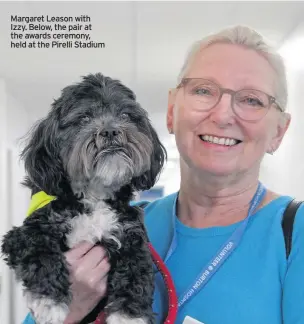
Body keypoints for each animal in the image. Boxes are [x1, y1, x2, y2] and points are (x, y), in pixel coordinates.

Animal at [0, 73, 166, 324]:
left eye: (125, 115)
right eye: (84, 118)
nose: (110, 131)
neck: (95, 194)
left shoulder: (132, 238)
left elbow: (135, 275)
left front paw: (129, 316)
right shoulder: (23, 235)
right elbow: (42, 255)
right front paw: (49, 302)